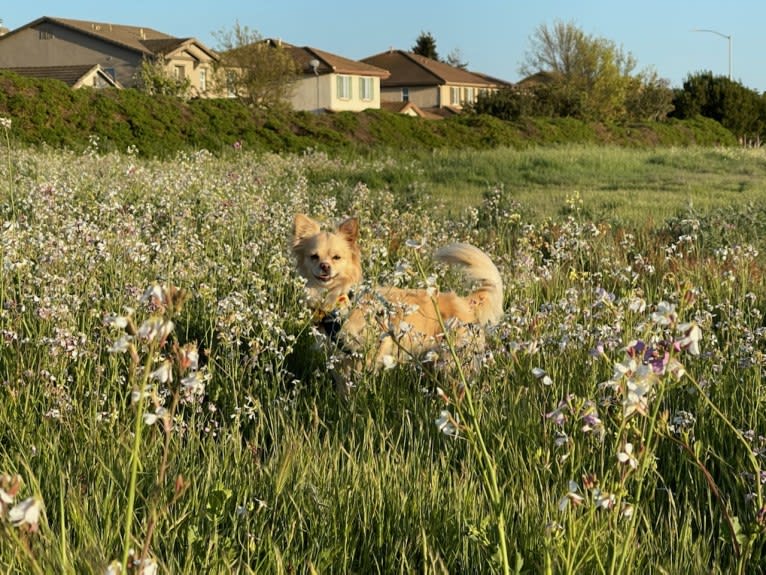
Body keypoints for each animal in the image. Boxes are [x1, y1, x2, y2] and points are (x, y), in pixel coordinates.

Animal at [292, 214, 504, 394]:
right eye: (314, 256)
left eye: (337, 257)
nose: (325, 266)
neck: (338, 298)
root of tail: (465, 302)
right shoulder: (336, 357)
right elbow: (343, 386)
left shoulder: (365, 354)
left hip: (454, 361)